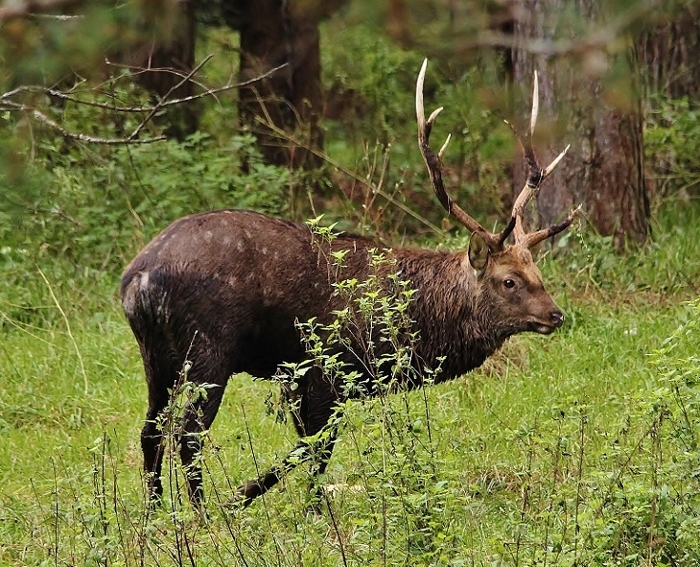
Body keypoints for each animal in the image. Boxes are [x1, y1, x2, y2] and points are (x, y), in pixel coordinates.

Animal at [120, 61, 580, 510]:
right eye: (509, 282)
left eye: (539, 276)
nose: (555, 315)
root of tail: (138, 280)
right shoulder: (330, 370)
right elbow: (316, 446)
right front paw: (258, 499)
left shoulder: (302, 379)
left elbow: (310, 446)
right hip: (208, 350)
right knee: (187, 434)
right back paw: (203, 512)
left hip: (156, 354)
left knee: (151, 429)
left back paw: (156, 511)